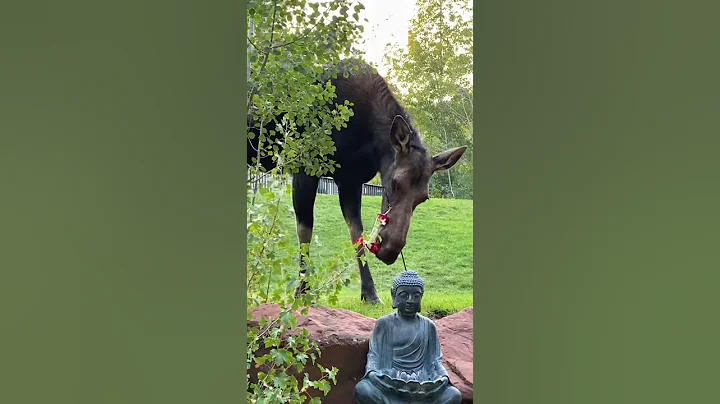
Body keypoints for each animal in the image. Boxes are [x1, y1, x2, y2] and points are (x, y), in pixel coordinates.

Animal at [250, 60, 470, 304]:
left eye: (423, 198)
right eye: (393, 183)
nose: (390, 251)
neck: (366, 144)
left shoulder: (350, 180)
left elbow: (357, 234)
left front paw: (370, 293)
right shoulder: (305, 169)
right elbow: (305, 232)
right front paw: (302, 291)